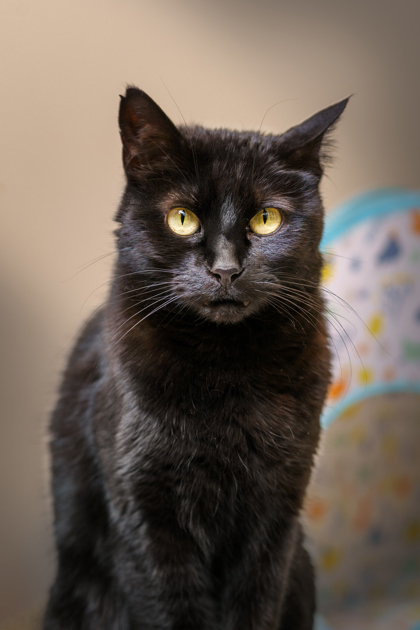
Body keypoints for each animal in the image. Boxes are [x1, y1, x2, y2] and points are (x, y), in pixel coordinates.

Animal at [44, 86, 350, 628]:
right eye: (182, 219)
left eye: (266, 219)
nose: (225, 269)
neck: (225, 369)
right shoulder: (146, 517)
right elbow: (172, 606)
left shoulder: (277, 513)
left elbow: (256, 602)